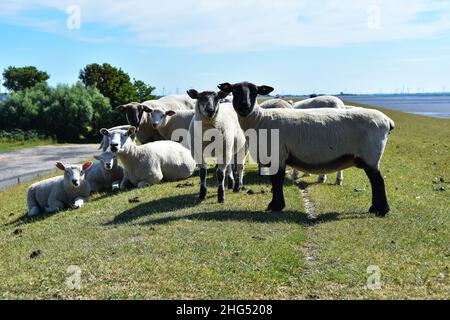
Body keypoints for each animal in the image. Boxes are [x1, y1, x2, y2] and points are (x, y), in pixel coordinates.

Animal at [218, 82, 394, 218]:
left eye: (255, 91)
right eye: (234, 90)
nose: (244, 106)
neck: (261, 119)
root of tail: (388, 121)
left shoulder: (278, 155)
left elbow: (277, 181)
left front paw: (276, 206)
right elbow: (275, 181)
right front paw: (275, 205)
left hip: (370, 155)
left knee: (378, 181)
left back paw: (382, 210)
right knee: (375, 181)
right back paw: (374, 209)